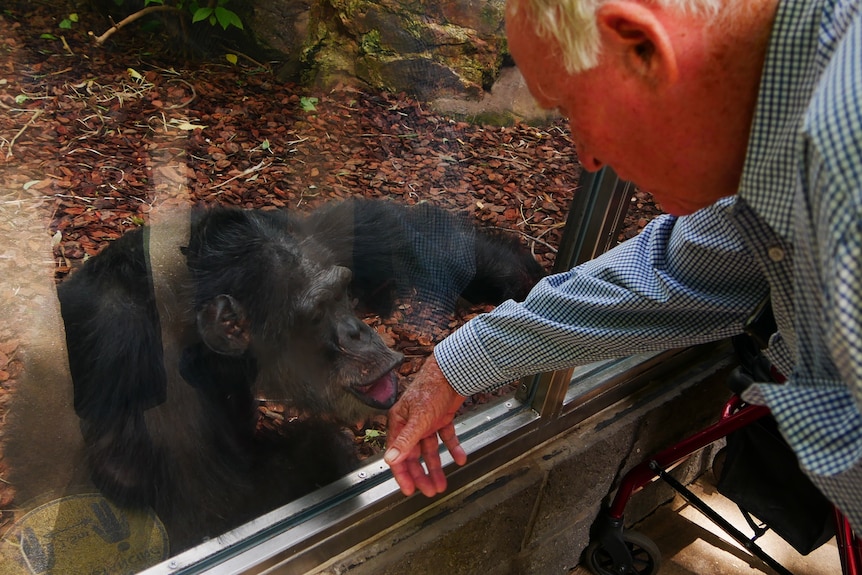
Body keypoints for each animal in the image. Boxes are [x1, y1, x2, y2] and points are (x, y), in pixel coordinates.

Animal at [52, 199, 548, 552]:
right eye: (315, 314)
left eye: (341, 293)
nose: (356, 331)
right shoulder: (142, 371)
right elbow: (210, 504)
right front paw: (326, 450)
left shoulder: (307, 235)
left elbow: (394, 231)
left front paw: (521, 280)